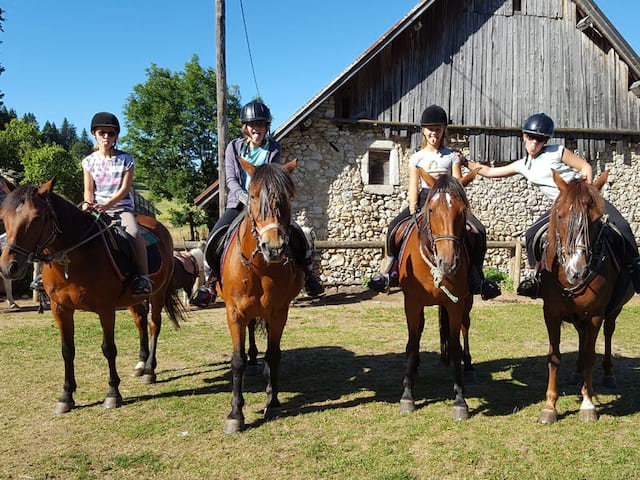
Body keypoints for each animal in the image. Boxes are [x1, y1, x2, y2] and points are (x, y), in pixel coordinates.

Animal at [0, 178, 185, 414]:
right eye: (3, 218)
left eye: (37, 218)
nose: (9, 267)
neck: (74, 258)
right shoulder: (60, 309)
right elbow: (67, 351)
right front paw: (66, 397)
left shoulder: (105, 309)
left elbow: (109, 349)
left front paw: (113, 393)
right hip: (132, 299)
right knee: (140, 321)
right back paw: (141, 364)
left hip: (158, 293)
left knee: (154, 325)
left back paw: (150, 370)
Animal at [220, 156, 304, 434]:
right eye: (254, 196)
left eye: (288, 196)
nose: (274, 248)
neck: (260, 268)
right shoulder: (234, 313)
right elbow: (237, 361)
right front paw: (235, 414)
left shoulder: (278, 313)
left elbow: (274, 355)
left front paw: (273, 401)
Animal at [398, 169, 478, 420]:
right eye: (431, 210)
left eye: (462, 210)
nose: (448, 262)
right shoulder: (412, 303)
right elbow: (414, 342)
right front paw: (407, 395)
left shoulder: (455, 304)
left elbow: (454, 345)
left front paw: (460, 400)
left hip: (467, 302)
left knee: (465, 327)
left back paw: (468, 364)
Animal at [536, 170, 636, 424]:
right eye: (560, 215)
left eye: (596, 218)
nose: (577, 271)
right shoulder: (551, 312)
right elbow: (554, 356)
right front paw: (549, 407)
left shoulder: (595, 315)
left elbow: (591, 354)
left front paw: (588, 404)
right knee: (582, 339)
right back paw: (577, 372)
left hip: (612, 312)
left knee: (608, 335)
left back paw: (608, 374)